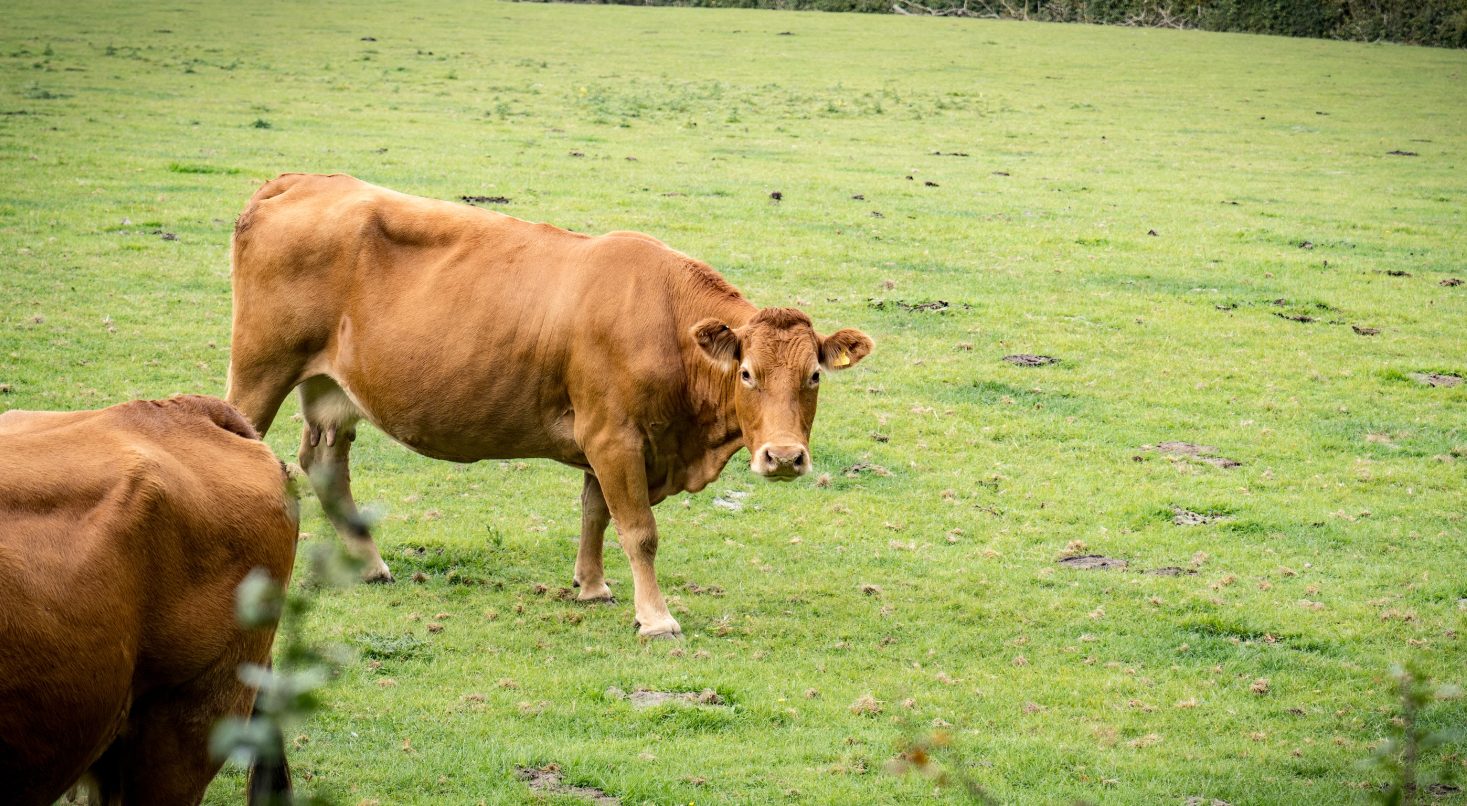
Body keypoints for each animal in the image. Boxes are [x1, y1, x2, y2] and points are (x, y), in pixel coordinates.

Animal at [226, 173, 872, 639]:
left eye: (814, 375)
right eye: (746, 373)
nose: (784, 457)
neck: (665, 319)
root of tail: (303, 181)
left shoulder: (608, 442)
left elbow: (595, 513)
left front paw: (592, 586)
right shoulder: (614, 436)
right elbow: (639, 529)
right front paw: (656, 618)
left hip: (331, 392)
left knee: (326, 467)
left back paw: (370, 563)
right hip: (260, 370)